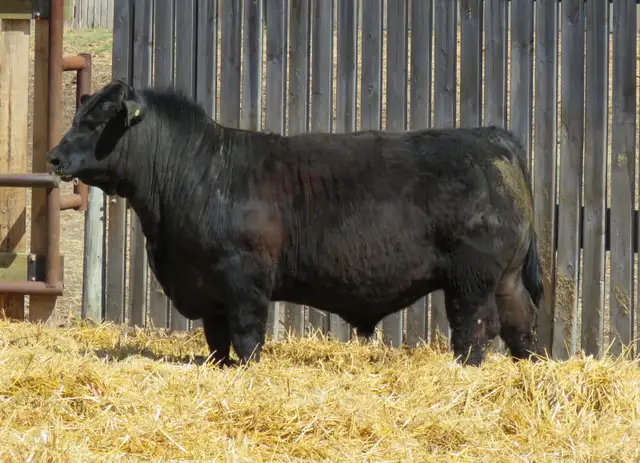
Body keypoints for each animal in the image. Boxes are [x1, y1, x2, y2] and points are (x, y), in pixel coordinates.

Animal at [46, 80, 544, 368]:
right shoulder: (208, 290)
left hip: (471, 280)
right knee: (521, 324)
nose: (53, 157)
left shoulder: (244, 280)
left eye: (96, 120)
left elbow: (246, 338)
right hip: (506, 277)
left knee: (475, 330)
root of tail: (491, 137)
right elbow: (216, 342)